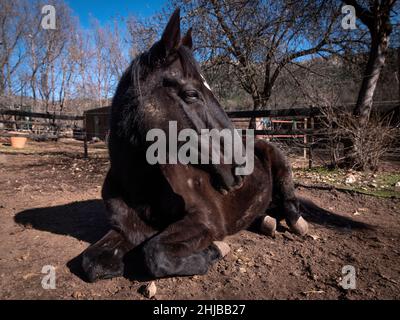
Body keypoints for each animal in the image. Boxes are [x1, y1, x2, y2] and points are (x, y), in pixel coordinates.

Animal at [80, 8, 306, 282]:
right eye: (191, 94)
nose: (242, 165)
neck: (141, 187)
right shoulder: (125, 230)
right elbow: (92, 262)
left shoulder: (205, 220)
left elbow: (155, 254)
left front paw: (216, 249)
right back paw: (266, 221)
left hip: (281, 166)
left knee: (290, 203)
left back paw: (295, 222)